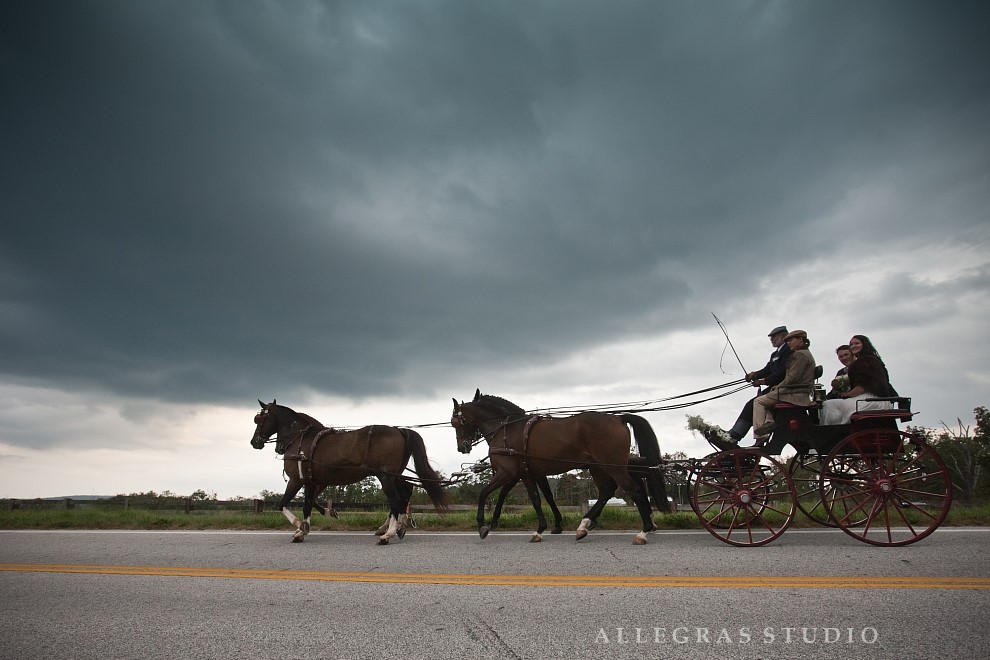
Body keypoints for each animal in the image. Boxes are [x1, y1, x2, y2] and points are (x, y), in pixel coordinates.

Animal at [250, 400, 452, 544]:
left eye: (259, 419)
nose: (254, 442)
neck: (300, 439)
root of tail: (399, 430)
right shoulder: (313, 481)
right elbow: (308, 504)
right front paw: (306, 527)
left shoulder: (296, 480)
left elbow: (283, 504)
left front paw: (300, 526)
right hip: (395, 475)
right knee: (405, 492)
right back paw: (398, 527)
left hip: (386, 476)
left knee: (395, 500)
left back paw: (388, 534)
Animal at [454, 392, 672, 540]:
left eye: (456, 422)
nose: (462, 447)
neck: (509, 429)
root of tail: (617, 417)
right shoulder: (531, 473)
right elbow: (542, 498)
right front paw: (550, 526)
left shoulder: (509, 472)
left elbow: (488, 493)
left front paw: (483, 525)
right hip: (600, 467)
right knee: (609, 491)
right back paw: (585, 525)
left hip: (612, 466)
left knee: (633, 489)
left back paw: (643, 530)